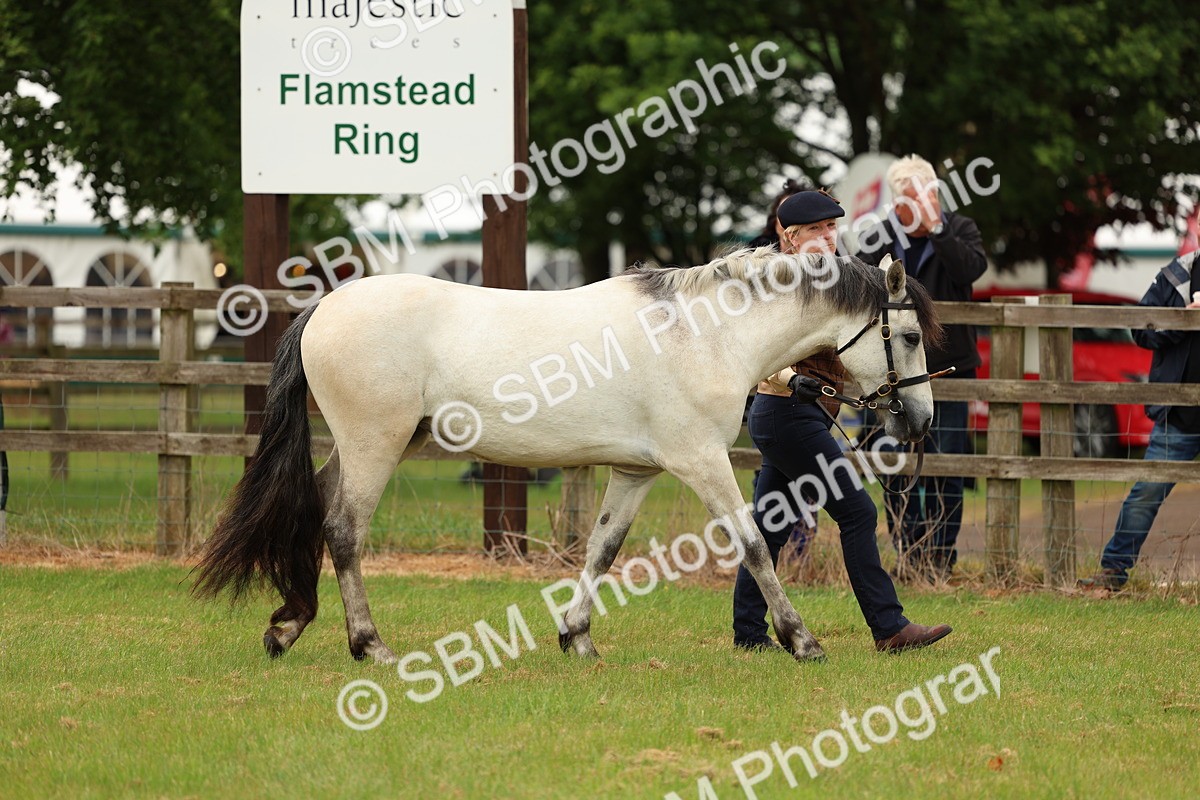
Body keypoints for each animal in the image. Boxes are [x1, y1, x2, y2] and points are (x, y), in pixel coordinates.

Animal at [193, 248, 941, 664]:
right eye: (906, 335)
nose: (921, 420)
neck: (707, 333)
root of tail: (325, 306)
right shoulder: (701, 460)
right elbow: (755, 545)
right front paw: (802, 640)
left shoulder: (637, 471)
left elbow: (602, 550)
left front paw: (576, 637)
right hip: (374, 445)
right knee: (344, 531)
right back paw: (368, 645)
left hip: (374, 447)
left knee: (316, 512)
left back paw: (289, 626)